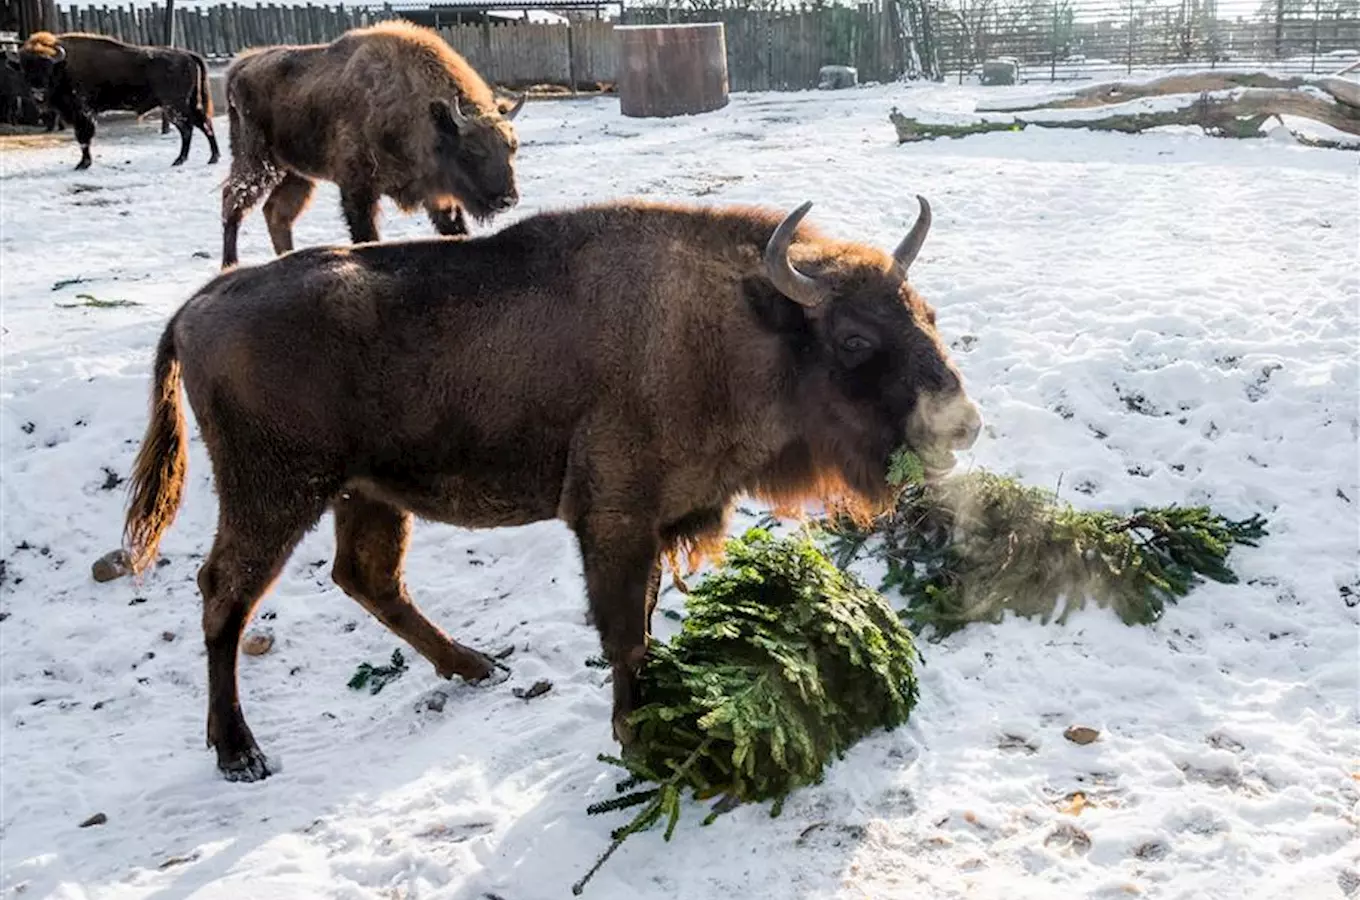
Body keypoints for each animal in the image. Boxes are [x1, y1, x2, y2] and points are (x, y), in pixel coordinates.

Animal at [6, 30, 217, 169]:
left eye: (48, 69)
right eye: (25, 68)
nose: (37, 91)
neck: (63, 65)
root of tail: (186, 55)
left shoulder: (82, 112)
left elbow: (84, 137)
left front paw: (83, 164)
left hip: (174, 106)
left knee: (188, 129)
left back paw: (181, 160)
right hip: (186, 104)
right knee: (203, 124)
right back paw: (211, 158)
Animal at [116, 197, 984, 783]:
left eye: (928, 314)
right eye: (854, 338)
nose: (963, 423)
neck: (735, 326)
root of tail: (202, 301)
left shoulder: (654, 523)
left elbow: (641, 620)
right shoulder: (615, 521)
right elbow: (624, 631)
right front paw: (634, 734)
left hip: (367, 494)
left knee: (366, 577)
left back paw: (476, 666)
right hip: (274, 495)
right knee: (225, 594)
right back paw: (241, 753)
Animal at [220, 20, 522, 267]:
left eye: (512, 147)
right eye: (471, 151)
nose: (507, 199)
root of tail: (239, 66)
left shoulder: (435, 195)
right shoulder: (358, 190)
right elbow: (367, 238)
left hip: (295, 175)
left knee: (276, 214)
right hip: (256, 164)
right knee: (232, 204)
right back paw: (229, 264)